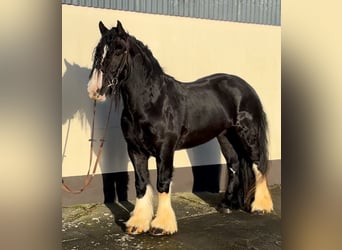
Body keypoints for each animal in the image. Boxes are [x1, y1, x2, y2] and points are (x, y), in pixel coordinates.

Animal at [87, 20, 272, 235]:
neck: (152, 102)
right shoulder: (135, 150)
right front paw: (137, 224)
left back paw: (261, 207)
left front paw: (161, 225)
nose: (95, 90)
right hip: (226, 137)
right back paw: (226, 205)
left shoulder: (165, 150)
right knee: (234, 165)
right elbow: (141, 184)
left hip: (247, 135)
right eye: (98, 52)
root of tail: (246, 87)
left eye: (118, 51)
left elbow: (162, 182)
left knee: (258, 165)